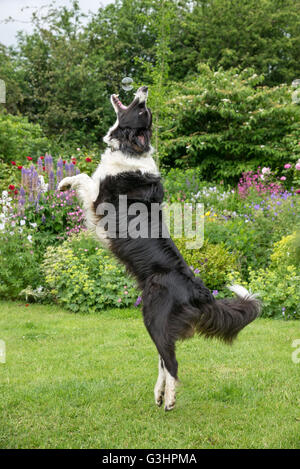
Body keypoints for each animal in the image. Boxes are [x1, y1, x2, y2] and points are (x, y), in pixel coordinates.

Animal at [59, 87, 260, 410]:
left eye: (143, 111)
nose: (143, 89)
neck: (130, 148)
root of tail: (198, 289)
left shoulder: (98, 199)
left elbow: (83, 177)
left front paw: (63, 182)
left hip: (153, 316)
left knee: (172, 362)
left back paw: (170, 399)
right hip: (162, 323)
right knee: (165, 357)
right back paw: (159, 393)